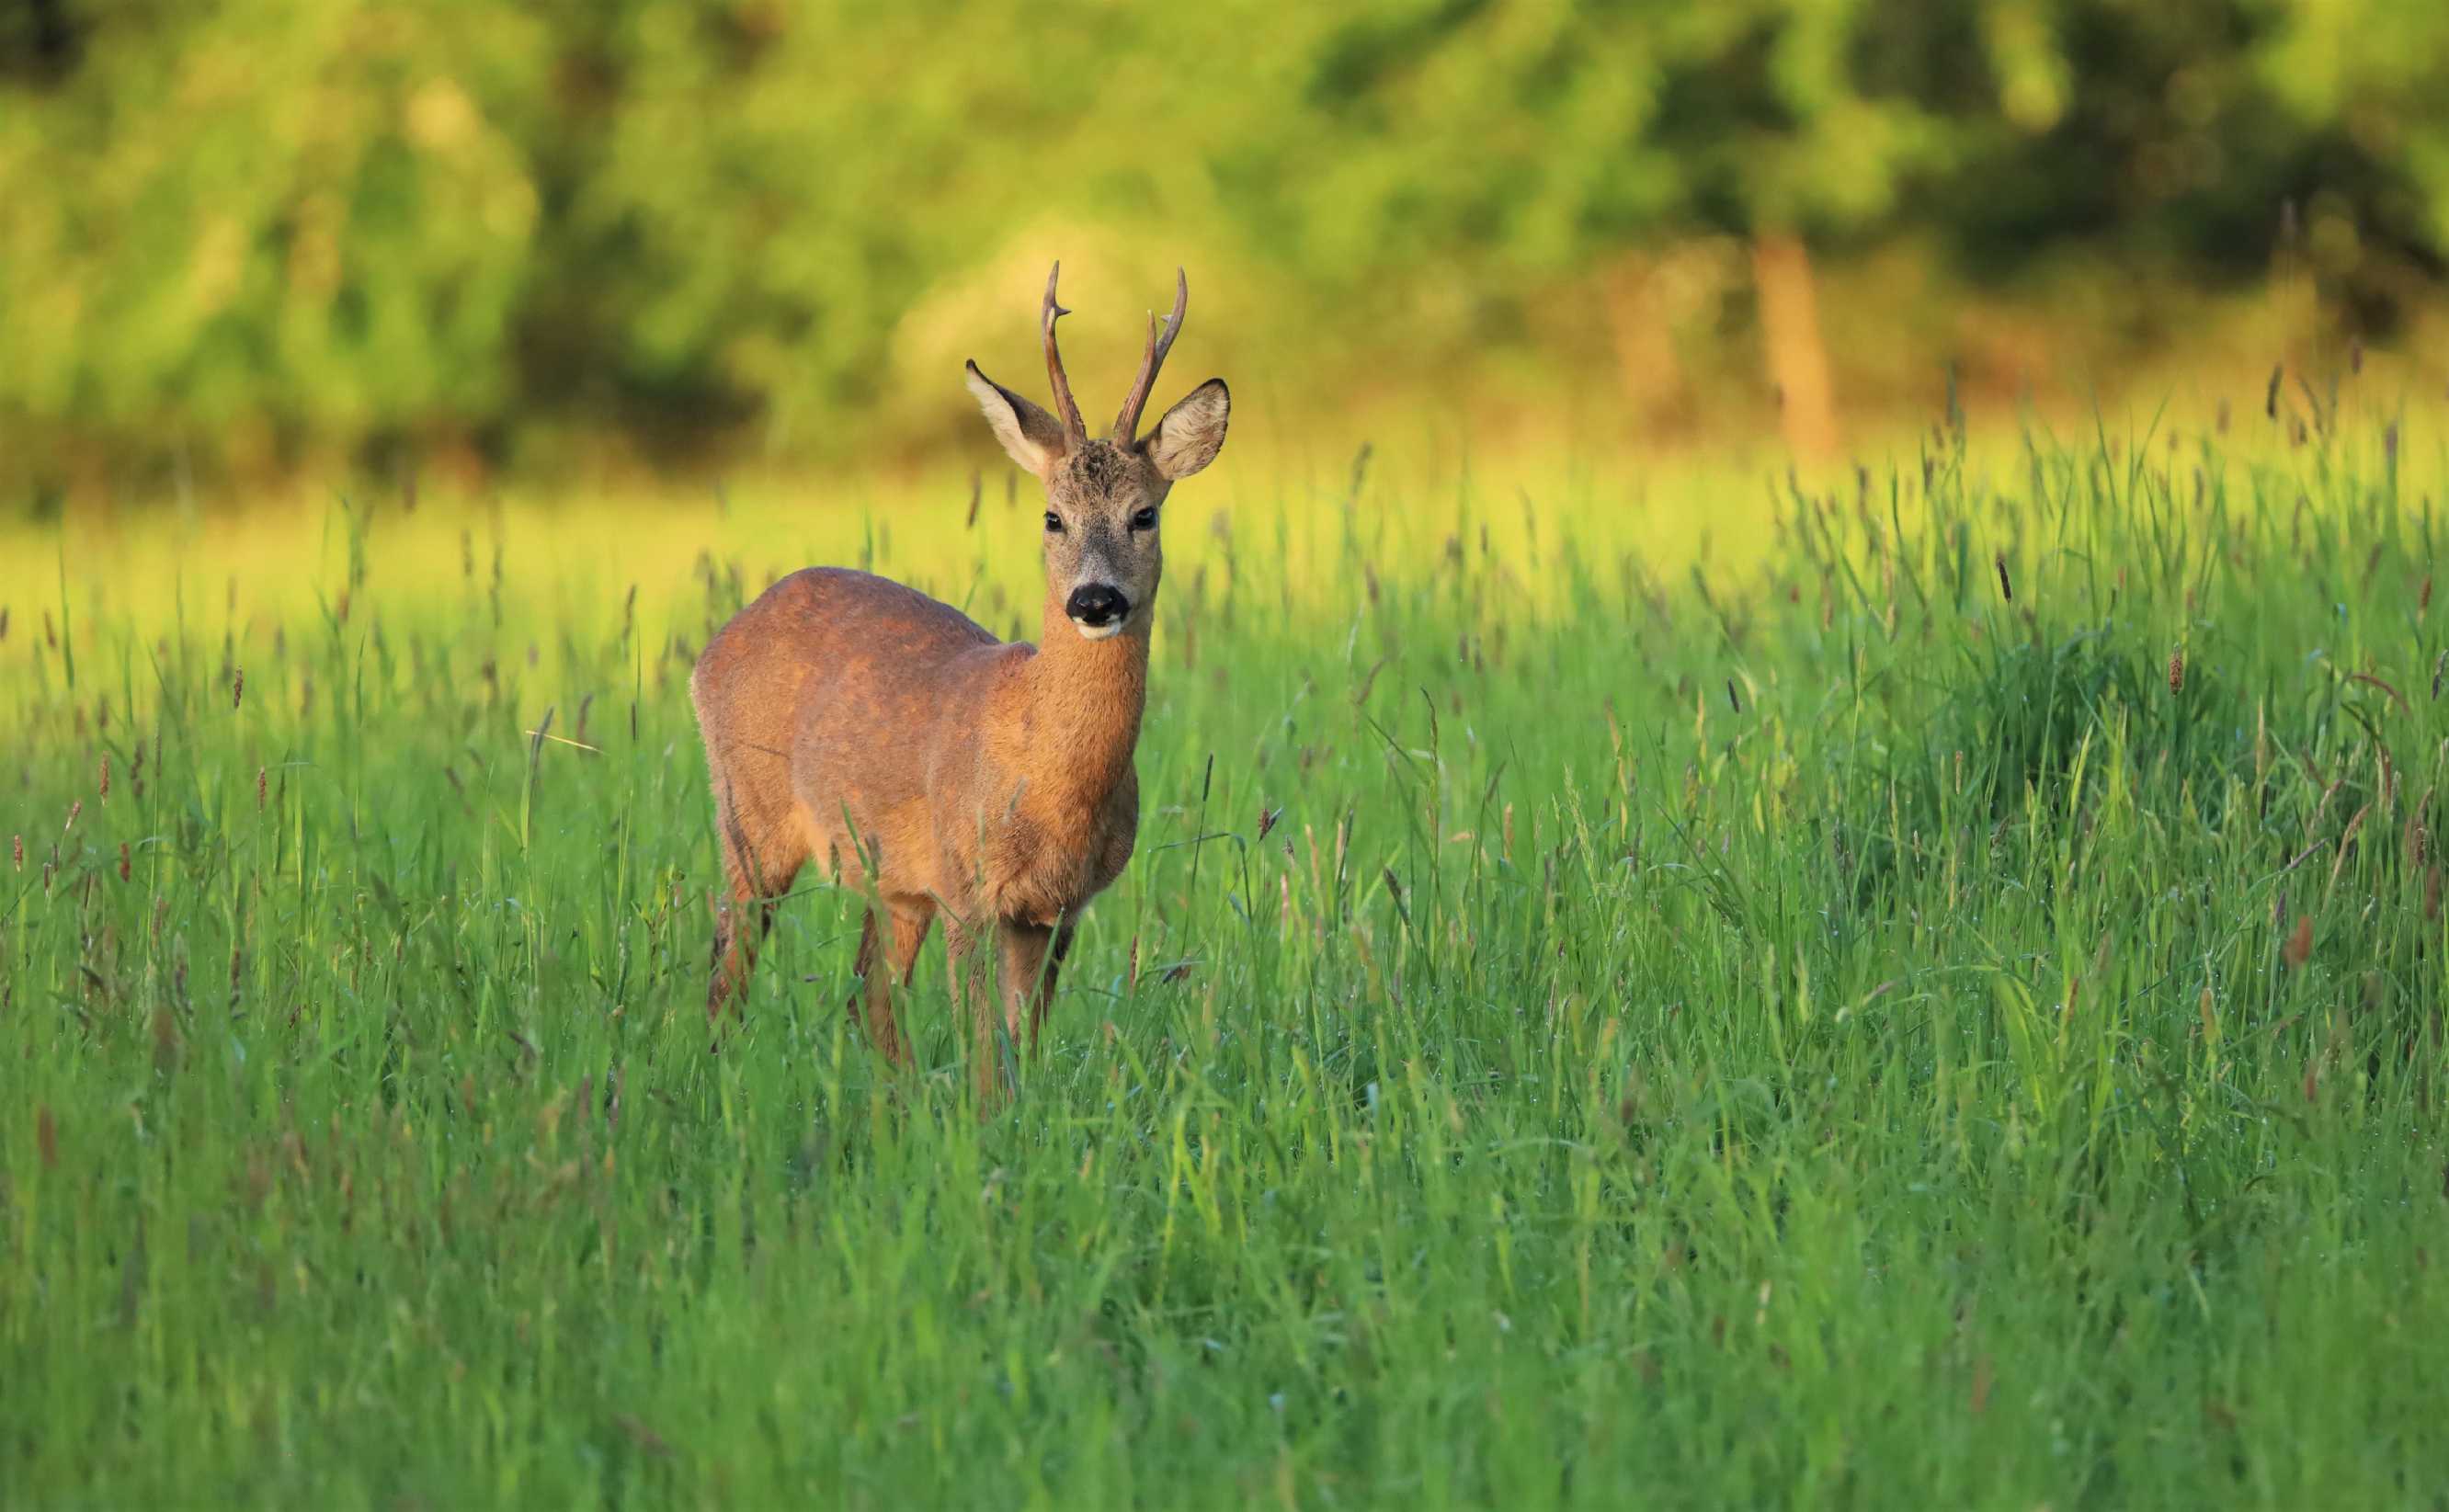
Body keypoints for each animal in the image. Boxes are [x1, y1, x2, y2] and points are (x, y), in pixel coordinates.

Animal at [685, 266, 1224, 1097]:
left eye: (1145, 514)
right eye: (1051, 517)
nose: (1095, 600)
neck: (1046, 772)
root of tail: (714, 646)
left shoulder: (1055, 911)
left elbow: (1020, 1045)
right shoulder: (967, 888)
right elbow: (982, 1050)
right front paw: (982, 1118)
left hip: (891, 881)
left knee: (865, 1001)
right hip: (750, 817)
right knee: (726, 978)